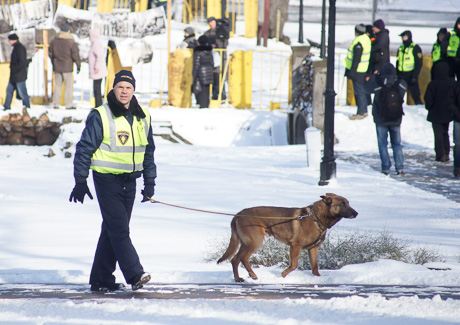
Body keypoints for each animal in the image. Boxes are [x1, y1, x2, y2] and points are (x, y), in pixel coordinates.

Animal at [217, 192, 358, 280]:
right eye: (342, 204)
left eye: (348, 203)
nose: (356, 213)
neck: (316, 218)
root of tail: (238, 214)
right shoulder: (295, 246)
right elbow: (294, 265)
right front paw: (283, 275)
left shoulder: (313, 249)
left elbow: (315, 267)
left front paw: (318, 279)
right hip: (255, 241)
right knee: (243, 258)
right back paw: (252, 275)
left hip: (246, 243)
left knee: (235, 259)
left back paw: (238, 278)